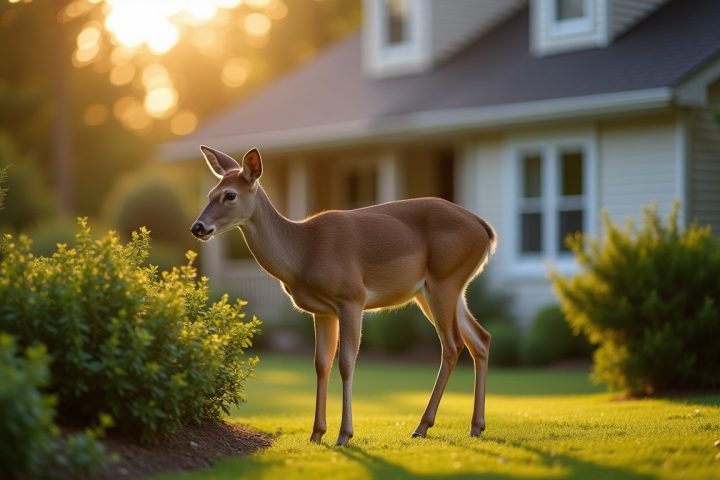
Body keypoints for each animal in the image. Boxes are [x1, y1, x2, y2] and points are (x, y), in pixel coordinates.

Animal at [191, 146, 497, 446]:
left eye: (230, 195)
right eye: (209, 194)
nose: (198, 227)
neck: (303, 253)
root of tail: (485, 227)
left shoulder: (351, 297)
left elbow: (347, 363)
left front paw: (344, 434)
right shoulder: (322, 311)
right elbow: (321, 364)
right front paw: (316, 433)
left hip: (444, 280)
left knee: (452, 344)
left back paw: (422, 426)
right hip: (440, 289)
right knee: (480, 338)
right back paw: (476, 426)